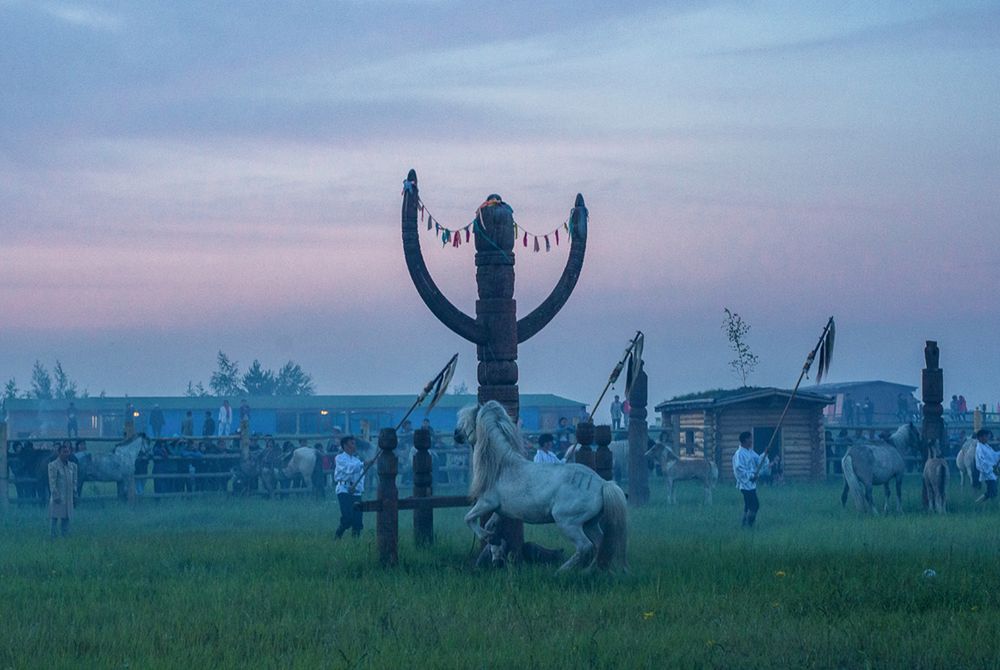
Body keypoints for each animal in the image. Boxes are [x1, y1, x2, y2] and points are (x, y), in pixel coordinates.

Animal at [458, 402, 628, 576]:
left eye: (466, 421)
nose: (456, 435)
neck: (501, 467)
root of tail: (602, 484)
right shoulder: (500, 511)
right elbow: (489, 525)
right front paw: (496, 552)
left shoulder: (486, 503)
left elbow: (468, 519)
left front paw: (488, 538)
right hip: (590, 523)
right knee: (600, 544)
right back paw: (590, 571)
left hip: (568, 522)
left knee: (585, 546)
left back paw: (562, 571)